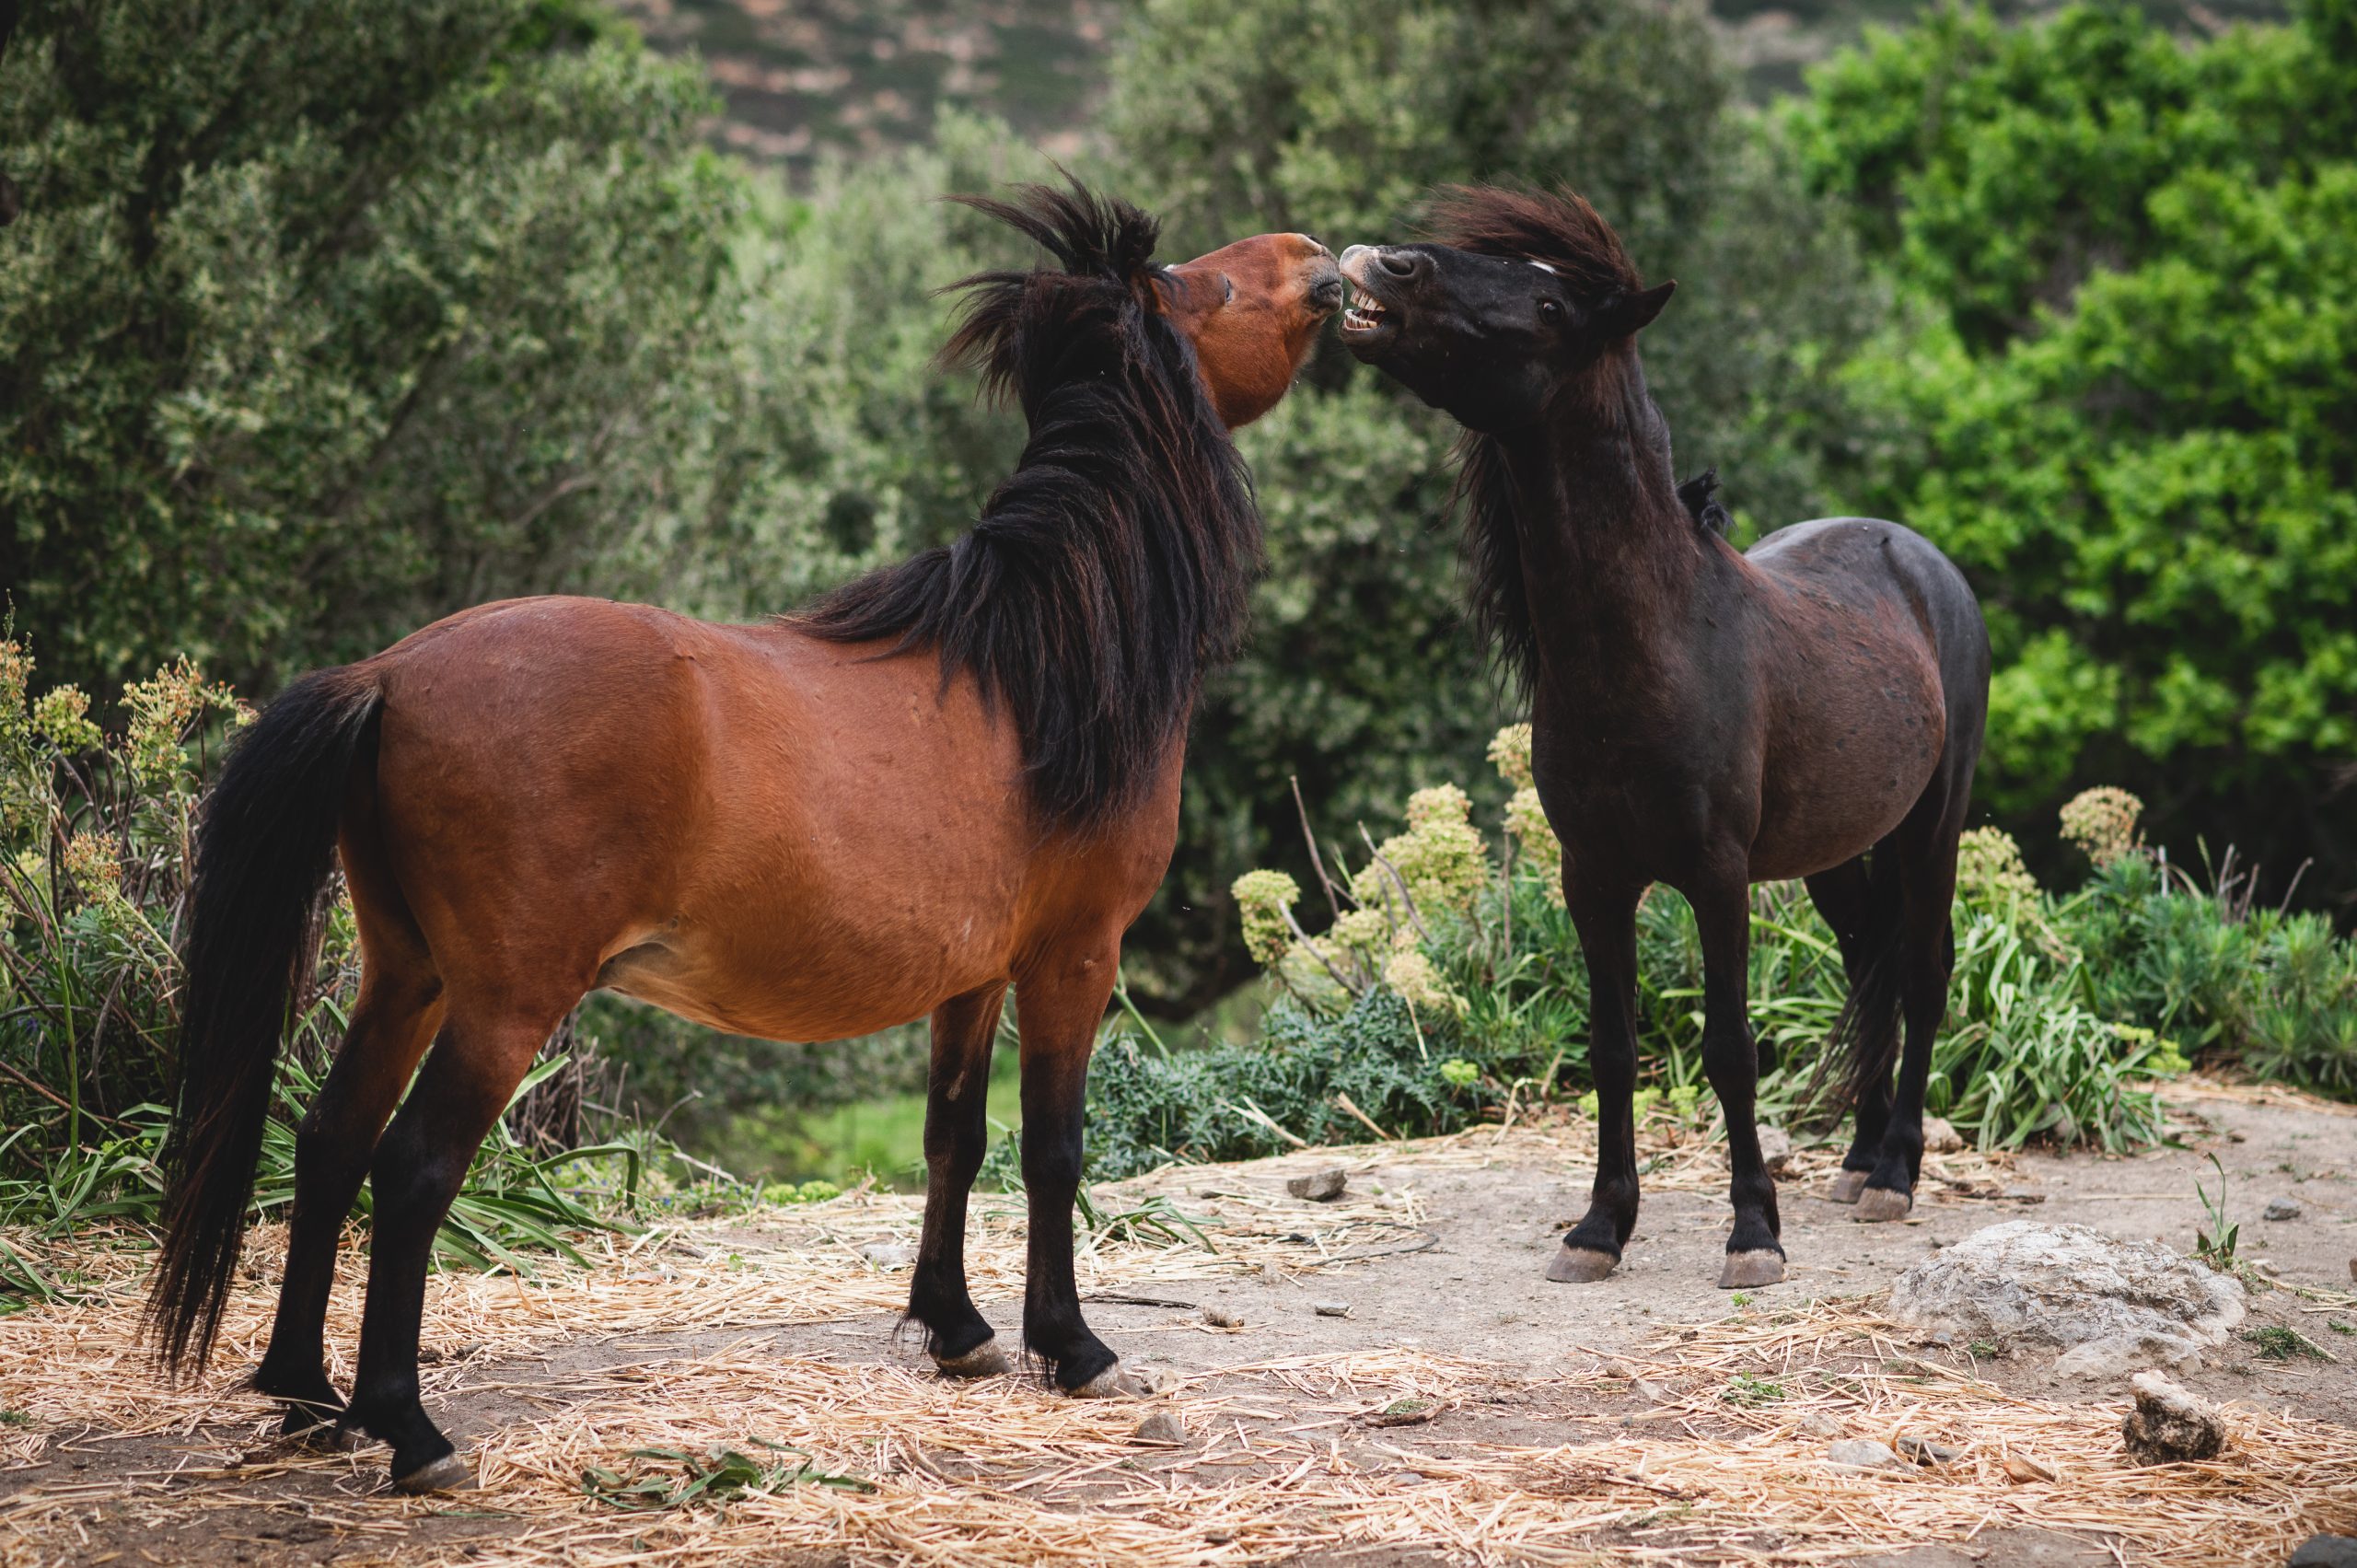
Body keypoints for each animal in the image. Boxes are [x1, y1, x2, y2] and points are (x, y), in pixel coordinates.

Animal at [152, 183, 1348, 1490]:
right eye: (1201, 284)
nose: (1322, 256)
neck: (1038, 666)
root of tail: (390, 673)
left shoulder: (971, 976)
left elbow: (953, 1135)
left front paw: (958, 1328)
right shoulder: (1072, 957)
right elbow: (1052, 1146)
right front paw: (1071, 1345)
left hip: (407, 975)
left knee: (327, 1140)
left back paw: (305, 1394)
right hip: (503, 1004)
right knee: (410, 1169)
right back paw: (407, 1427)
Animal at [1339, 186, 1980, 1283]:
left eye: (1551, 304)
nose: (1385, 264)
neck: (1653, 645)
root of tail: (1920, 559)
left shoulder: (1716, 875)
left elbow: (1730, 1046)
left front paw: (1754, 1231)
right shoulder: (1592, 877)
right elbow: (1610, 1044)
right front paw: (1599, 1228)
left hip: (1930, 825)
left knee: (1925, 968)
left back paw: (1894, 1172)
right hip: (1836, 853)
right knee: (1872, 965)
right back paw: (1856, 1160)